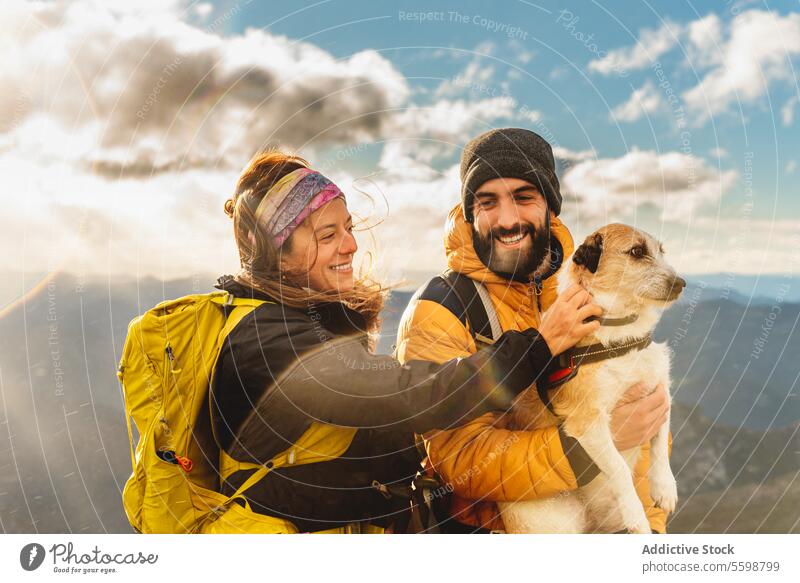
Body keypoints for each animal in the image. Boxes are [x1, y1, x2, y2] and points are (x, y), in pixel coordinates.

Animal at [500, 224, 680, 532]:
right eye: (636, 251)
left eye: (661, 251)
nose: (681, 283)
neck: (621, 335)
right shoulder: (588, 424)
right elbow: (619, 468)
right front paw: (636, 515)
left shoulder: (660, 392)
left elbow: (658, 444)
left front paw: (664, 488)